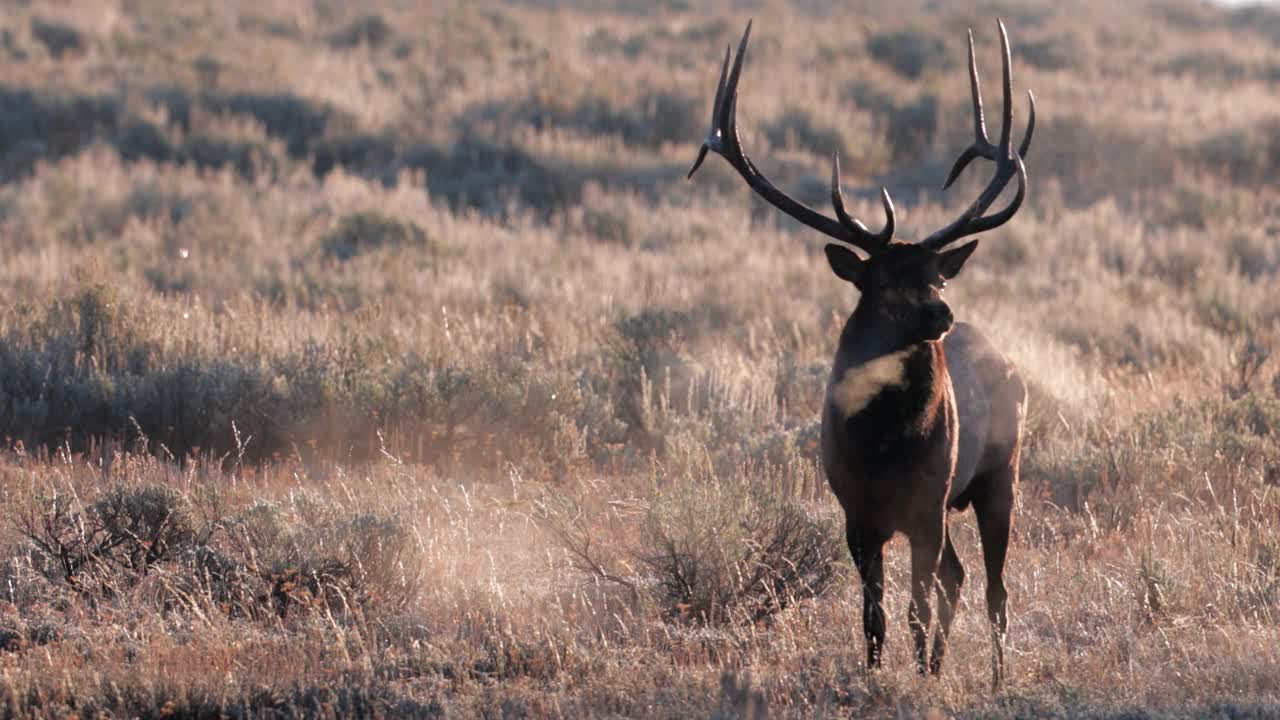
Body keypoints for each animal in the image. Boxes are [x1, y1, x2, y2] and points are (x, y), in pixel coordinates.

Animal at [686, 20, 1034, 681]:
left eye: (938, 277)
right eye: (886, 283)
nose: (942, 315)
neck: (883, 444)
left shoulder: (925, 502)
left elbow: (915, 607)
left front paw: (917, 678)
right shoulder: (856, 513)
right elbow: (873, 615)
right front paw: (879, 675)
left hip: (999, 473)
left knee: (994, 590)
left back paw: (998, 677)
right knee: (958, 575)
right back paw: (940, 666)